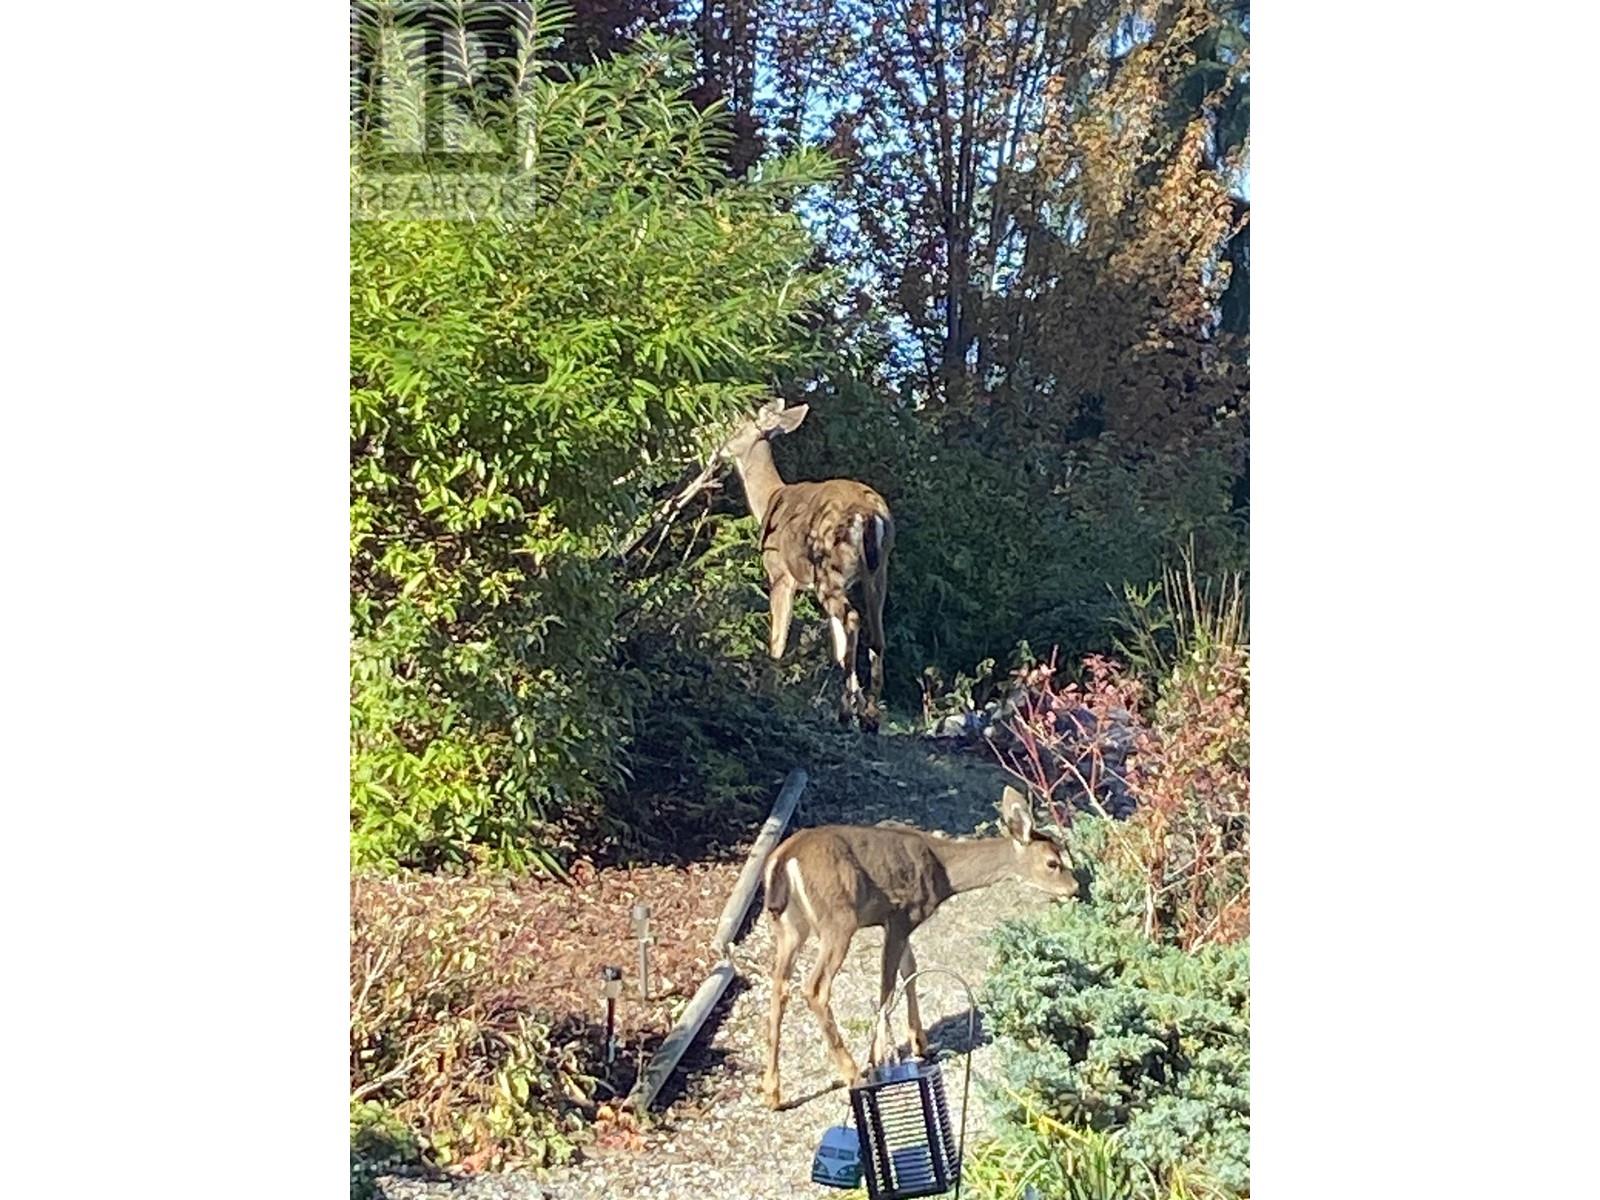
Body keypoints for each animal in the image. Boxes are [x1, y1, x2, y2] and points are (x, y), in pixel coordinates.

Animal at [720, 400, 896, 729]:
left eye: (737, 428)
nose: (719, 447)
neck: (770, 498)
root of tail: (868, 514)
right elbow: (838, 647)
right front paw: (857, 705)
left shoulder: (780, 575)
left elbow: (777, 640)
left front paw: (768, 697)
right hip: (877, 572)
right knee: (876, 635)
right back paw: (869, 716)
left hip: (829, 569)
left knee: (853, 618)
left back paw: (847, 712)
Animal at [758, 790, 1081, 1107]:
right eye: (1053, 863)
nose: (1074, 888)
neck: (944, 873)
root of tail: (784, 859)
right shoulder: (902, 913)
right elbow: (888, 986)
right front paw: (879, 1056)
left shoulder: (901, 922)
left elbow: (909, 970)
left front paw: (918, 1041)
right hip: (838, 920)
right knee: (814, 988)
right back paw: (851, 1072)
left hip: (789, 928)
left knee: (779, 986)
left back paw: (772, 1092)